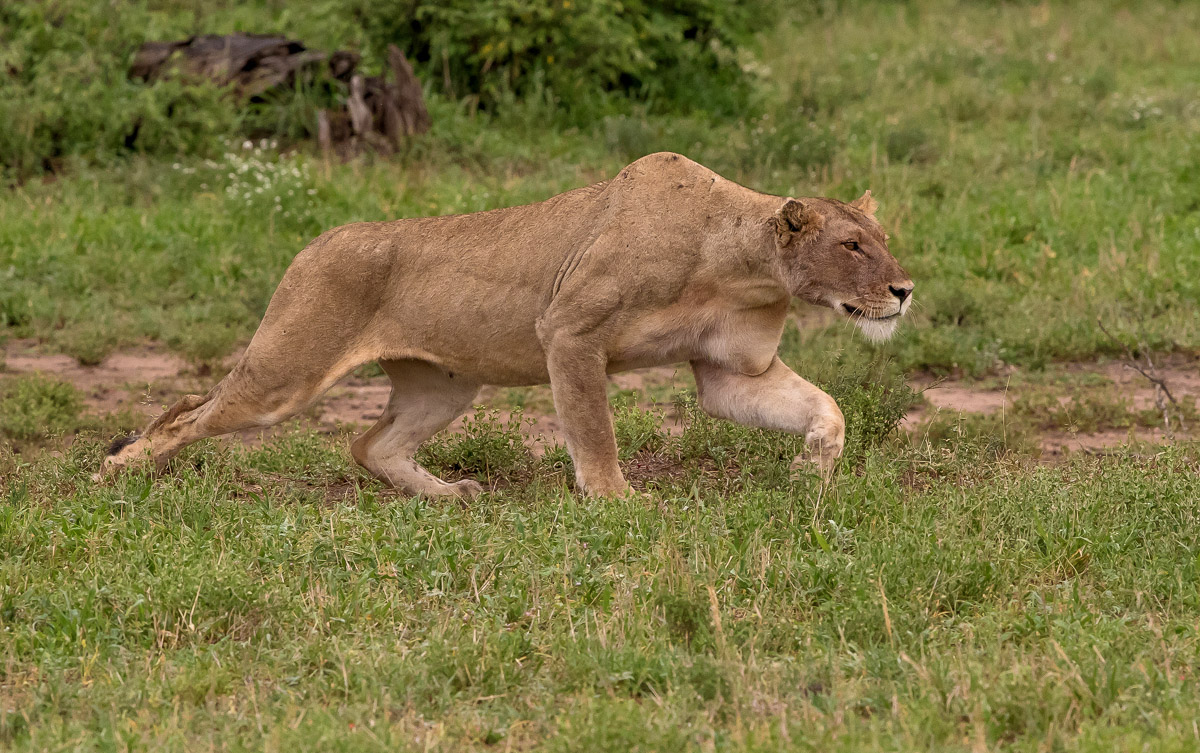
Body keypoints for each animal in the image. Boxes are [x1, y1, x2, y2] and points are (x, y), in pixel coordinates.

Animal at [102, 152, 913, 497]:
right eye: (853, 246)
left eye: (880, 237)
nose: (904, 290)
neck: (739, 263)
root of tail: (314, 243)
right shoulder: (571, 331)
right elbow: (594, 430)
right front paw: (617, 502)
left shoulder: (730, 371)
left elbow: (827, 408)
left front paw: (812, 471)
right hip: (285, 372)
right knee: (187, 412)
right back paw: (118, 471)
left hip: (445, 384)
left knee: (366, 443)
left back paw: (446, 496)